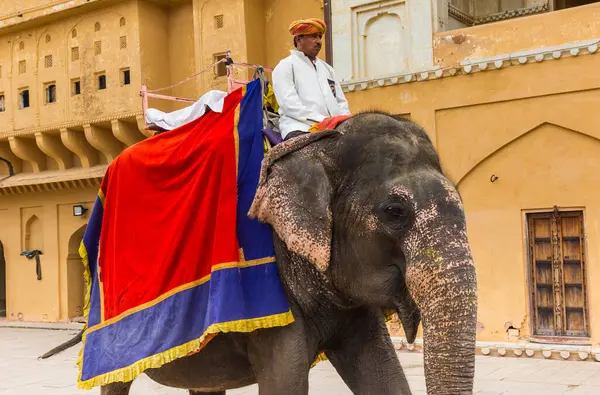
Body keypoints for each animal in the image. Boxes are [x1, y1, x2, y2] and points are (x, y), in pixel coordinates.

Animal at [42, 111, 478, 395]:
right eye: (394, 212)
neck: (315, 146)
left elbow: (383, 375)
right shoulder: (270, 297)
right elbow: (284, 382)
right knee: (113, 380)